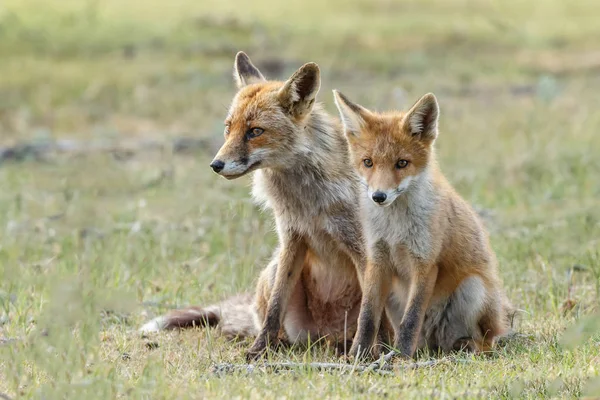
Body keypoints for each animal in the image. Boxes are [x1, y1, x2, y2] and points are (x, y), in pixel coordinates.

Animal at [141, 52, 394, 360]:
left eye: (255, 131)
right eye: (228, 128)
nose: (215, 165)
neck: (308, 202)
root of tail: (325, 338)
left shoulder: (364, 249)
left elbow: (373, 315)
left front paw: (374, 353)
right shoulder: (292, 240)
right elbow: (275, 308)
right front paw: (258, 350)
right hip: (274, 273)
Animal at [332, 90, 510, 360]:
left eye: (402, 163)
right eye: (368, 162)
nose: (379, 196)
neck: (395, 229)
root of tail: (434, 344)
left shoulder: (425, 262)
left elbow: (412, 318)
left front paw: (401, 358)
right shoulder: (377, 260)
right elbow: (367, 318)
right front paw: (356, 356)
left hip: (474, 288)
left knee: (485, 342)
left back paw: (465, 347)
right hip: (393, 297)